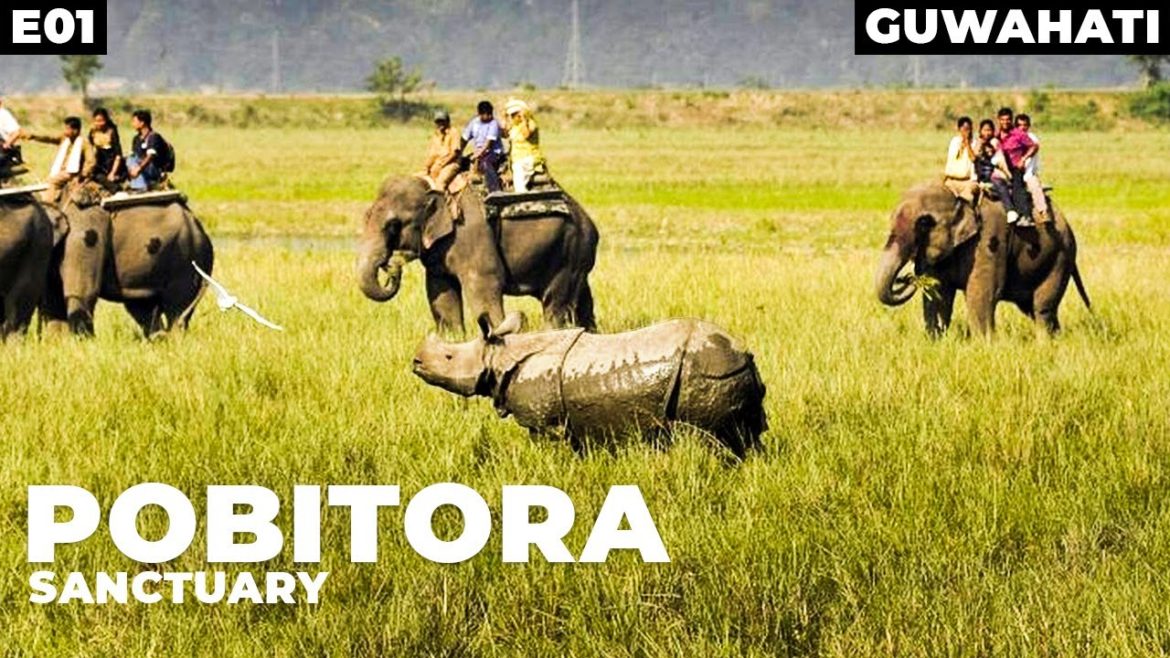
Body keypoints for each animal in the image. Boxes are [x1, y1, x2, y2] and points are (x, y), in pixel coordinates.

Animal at [412, 314, 767, 455]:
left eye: (448, 357)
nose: (415, 362)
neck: (501, 354)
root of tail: (742, 353)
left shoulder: (545, 424)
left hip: (705, 374)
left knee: (711, 438)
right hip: (728, 371)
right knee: (745, 435)